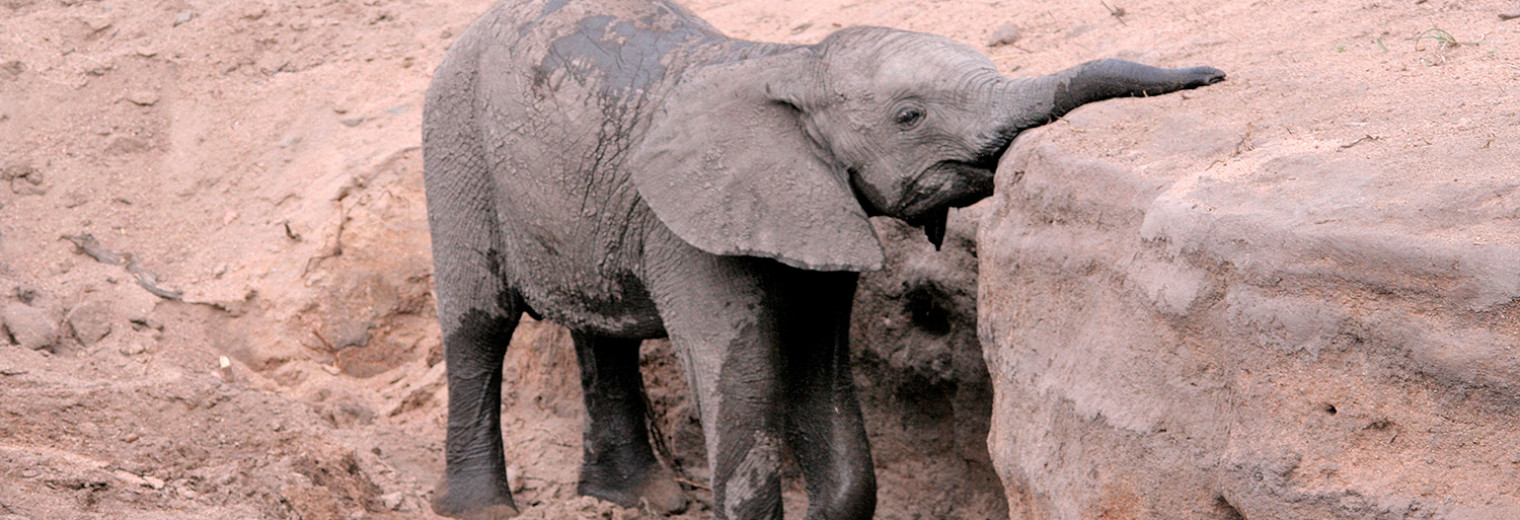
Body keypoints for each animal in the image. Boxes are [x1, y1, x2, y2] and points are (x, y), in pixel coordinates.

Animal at [422, 0, 1228, 516]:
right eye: (909, 116)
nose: (1213, 76)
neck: (793, 66)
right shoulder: (689, 226)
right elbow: (745, 376)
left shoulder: (816, 212)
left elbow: (820, 369)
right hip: (454, 143)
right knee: (479, 327)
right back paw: (486, 510)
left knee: (602, 329)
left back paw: (640, 499)